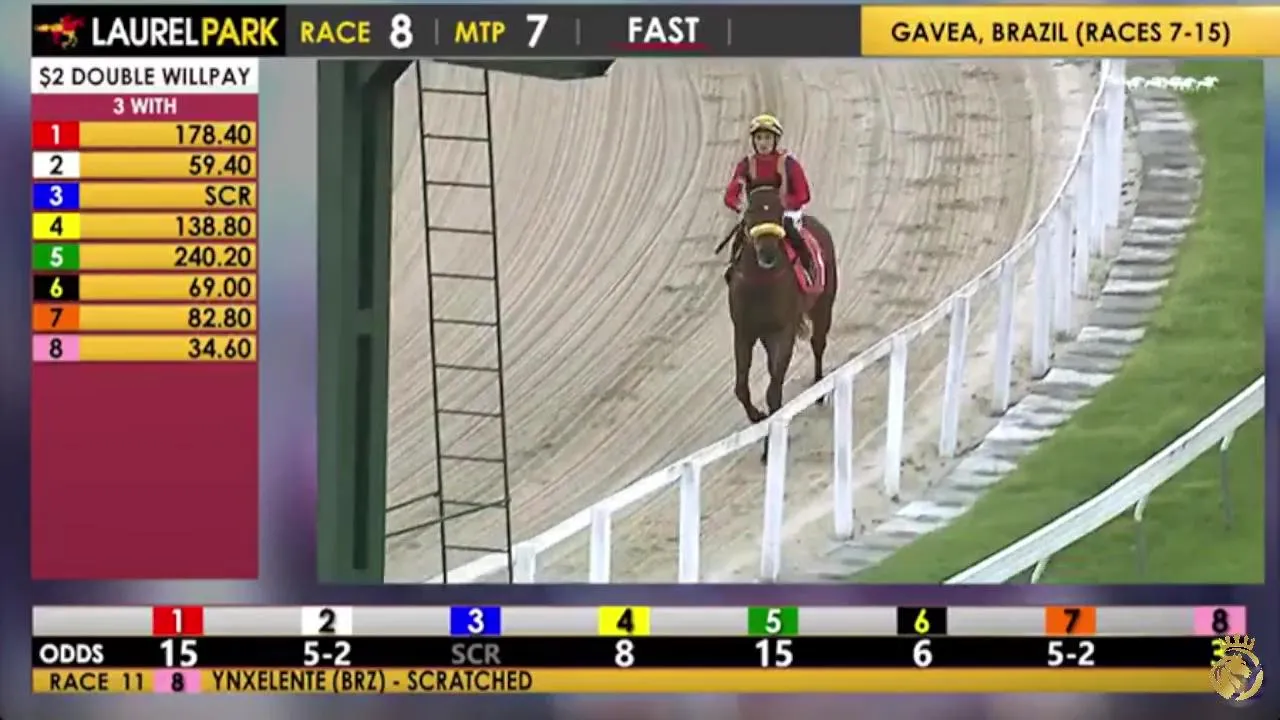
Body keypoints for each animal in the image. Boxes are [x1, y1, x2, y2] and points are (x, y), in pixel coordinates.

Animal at [725, 185, 838, 461]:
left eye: (778, 210)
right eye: (751, 211)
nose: (767, 254)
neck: (760, 283)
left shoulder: (783, 331)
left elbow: (773, 391)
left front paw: (769, 447)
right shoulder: (744, 331)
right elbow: (741, 388)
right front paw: (757, 416)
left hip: (823, 307)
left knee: (818, 345)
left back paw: (819, 391)